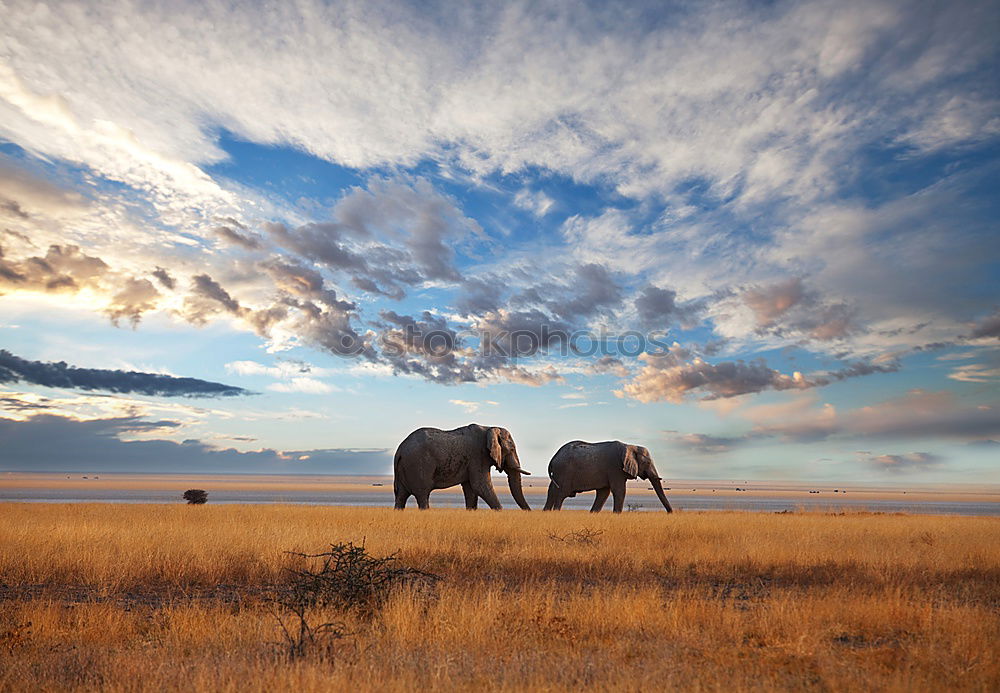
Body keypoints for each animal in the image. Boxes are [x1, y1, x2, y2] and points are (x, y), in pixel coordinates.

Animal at [390, 422, 532, 508]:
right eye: (512, 449)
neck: (489, 427)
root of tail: (400, 450)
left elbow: (471, 490)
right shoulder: (477, 456)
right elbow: (480, 486)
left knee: (401, 496)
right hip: (418, 465)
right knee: (422, 495)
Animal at [544, 440, 676, 510]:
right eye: (647, 463)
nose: (670, 513)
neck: (630, 446)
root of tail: (553, 458)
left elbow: (604, 493)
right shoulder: (615, 469)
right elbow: (619, 491)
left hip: (558, 473)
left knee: (552, 492)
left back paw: (547, 512)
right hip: (565, 472)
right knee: (562, 494)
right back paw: (556, 512)